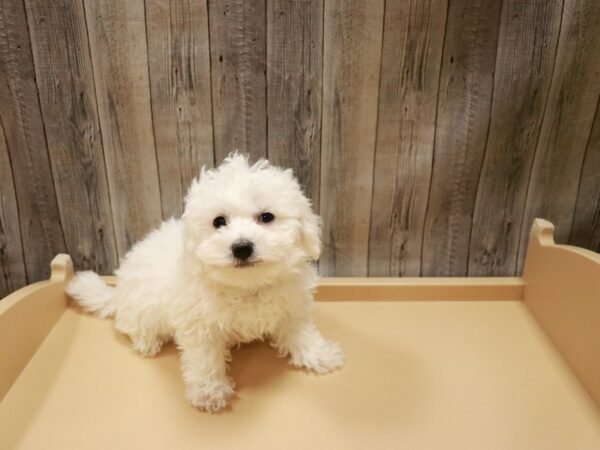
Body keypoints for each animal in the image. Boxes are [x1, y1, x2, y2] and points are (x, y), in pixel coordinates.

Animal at [66, 154, 344, 412]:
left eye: (267, 217)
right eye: (219, 222)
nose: (242, 247)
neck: (246, 285)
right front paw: (209, 393)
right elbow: (204, 359)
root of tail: (118, 293)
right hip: (142, 306)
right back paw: (147, 342)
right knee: (131, 324)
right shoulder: (198, 325)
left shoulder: (291, 305)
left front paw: (320, 354)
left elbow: (301, 332)